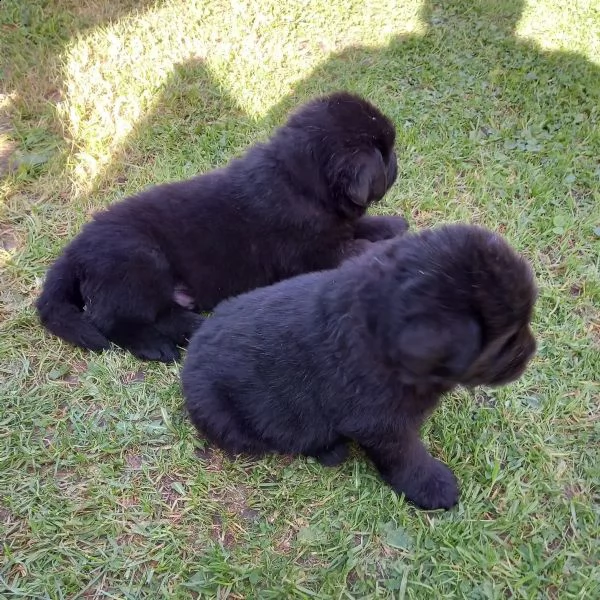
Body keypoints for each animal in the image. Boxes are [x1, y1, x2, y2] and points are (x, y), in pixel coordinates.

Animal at [35, 91, 406, 358]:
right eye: (385, 152)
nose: (396, 162)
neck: (297, 181)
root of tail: (74, 250)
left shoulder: (335, 228)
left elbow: (362, 226)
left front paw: (392, 224)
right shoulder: (316, 252)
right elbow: (360, 248)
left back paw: (192, 325)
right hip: (138, 260)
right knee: (109, 321)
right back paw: (157, 346)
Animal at [180, 223, 536, 508]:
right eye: (506, 340)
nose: (531, 352)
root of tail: (191, 351)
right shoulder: (382, 424)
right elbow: (406, 457)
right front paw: (431, 486)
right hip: (226, 417)